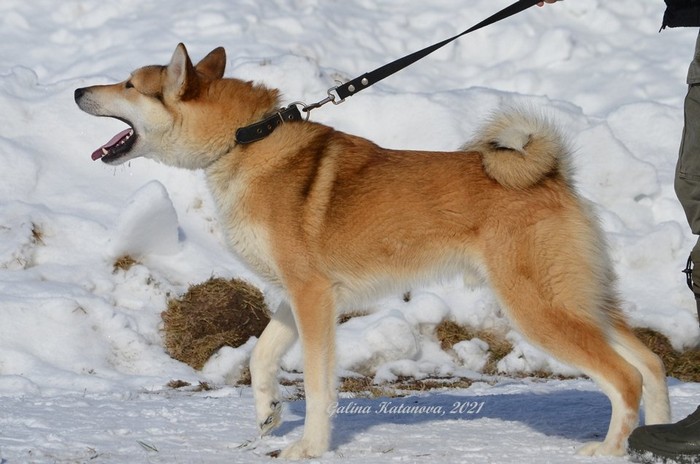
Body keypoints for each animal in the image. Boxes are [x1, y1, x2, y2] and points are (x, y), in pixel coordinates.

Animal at [75, 43, 670, 459]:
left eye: (128, 84)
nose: (79, 90)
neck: (244, 142)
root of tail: (551, 178)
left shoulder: (314, 299)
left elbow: (318, 385)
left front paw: (309, 447)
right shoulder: (296, 296)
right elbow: (262, 359)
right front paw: (269, 414)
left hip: (539, 310)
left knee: (626, 379)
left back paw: (610, 450)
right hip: (584, 301)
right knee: (653, 365)